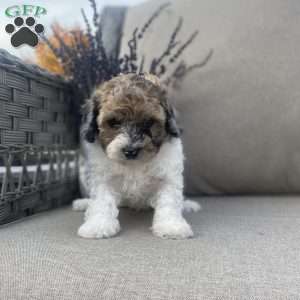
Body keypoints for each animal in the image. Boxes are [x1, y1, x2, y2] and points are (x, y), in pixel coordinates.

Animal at [72, 72, 200, 239]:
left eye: (148, 123)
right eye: (113, 123)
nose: (131, 150)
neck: (134, 165)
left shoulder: (168, 178)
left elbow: (169, 201)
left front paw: (171, 227)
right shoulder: (103, 178)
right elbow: (102, 201)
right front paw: (98, 225)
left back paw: (188, 205)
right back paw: (83, 203)